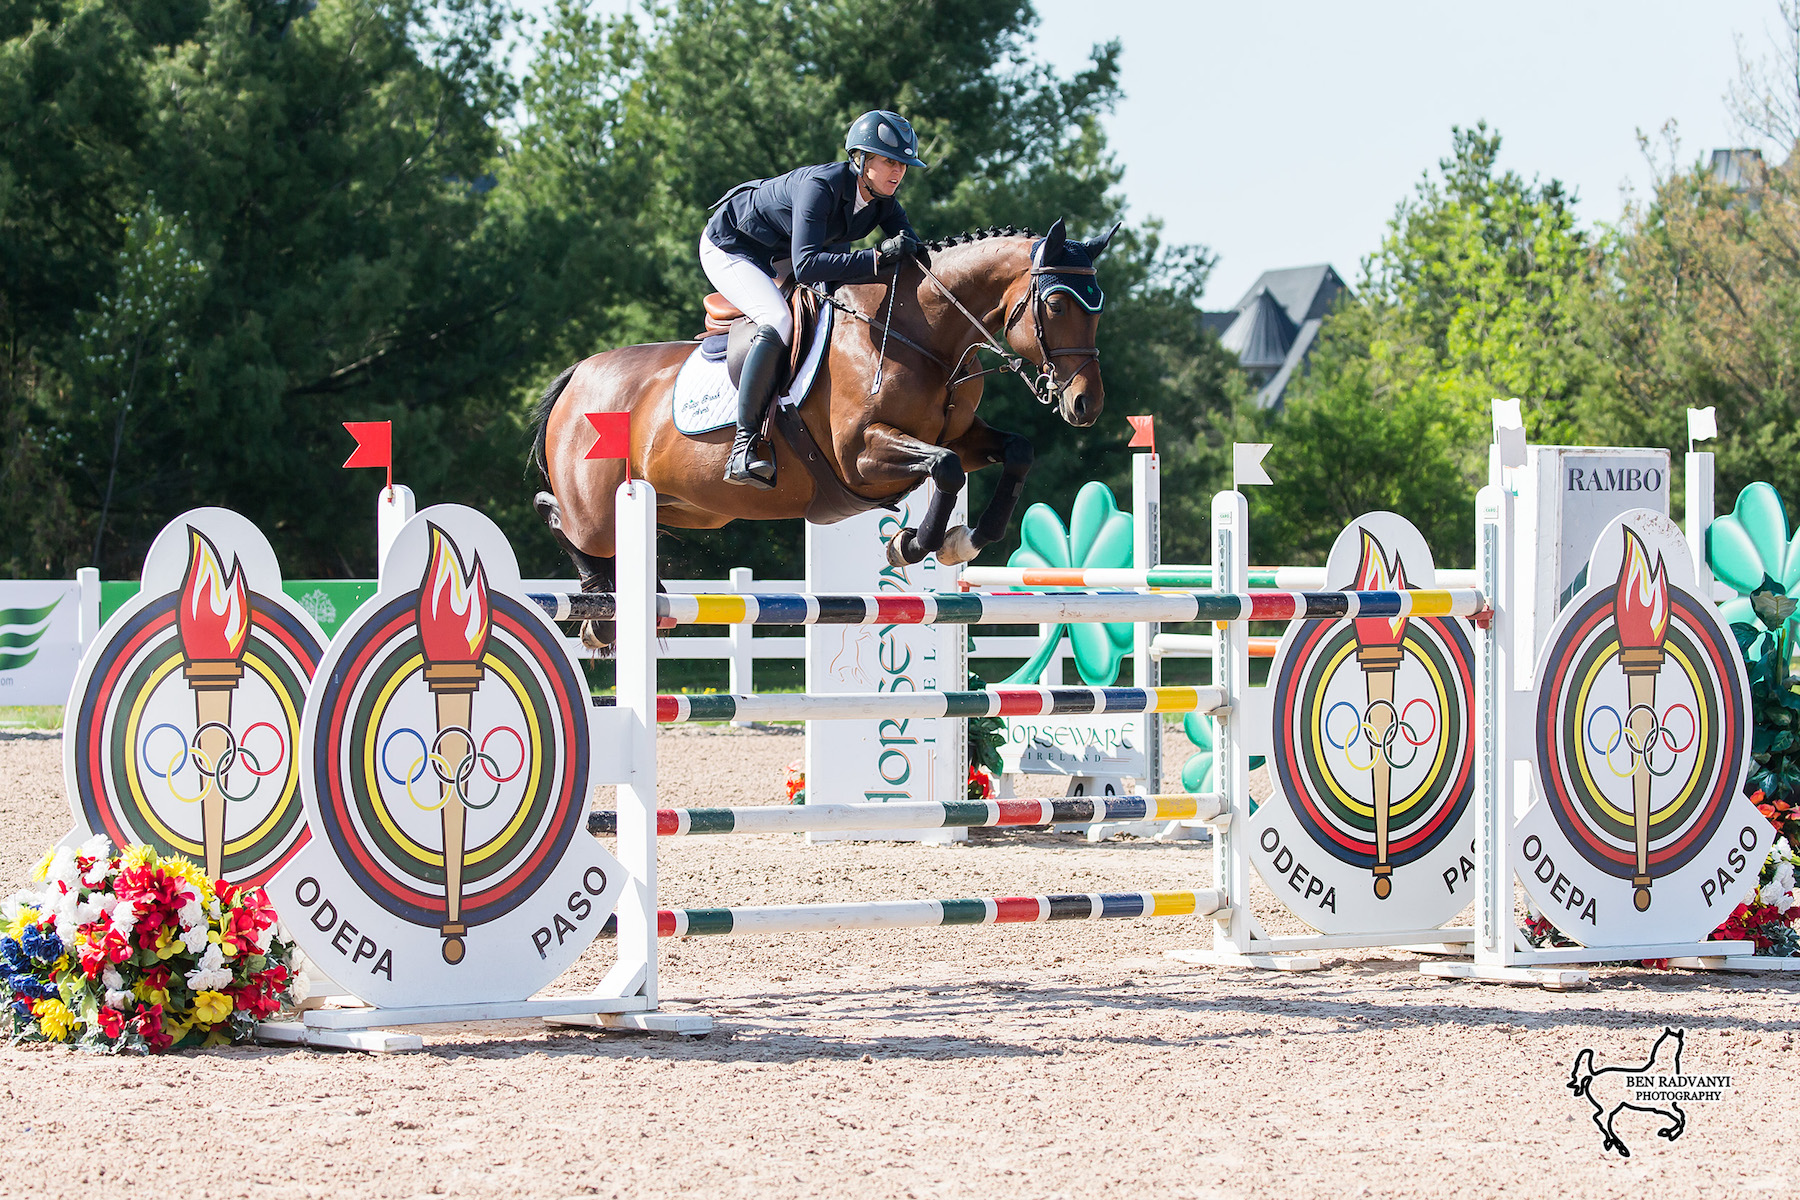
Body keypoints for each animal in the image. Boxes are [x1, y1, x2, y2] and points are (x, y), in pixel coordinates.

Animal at [525, 215, 1108, 647]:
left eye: (1098, 308)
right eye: (1057, 303)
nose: (1086, 404)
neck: (917, 333)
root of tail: (578, 375)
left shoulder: (961, 437)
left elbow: (1016, 451)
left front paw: (964, 539)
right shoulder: (861, 456)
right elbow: (943, 469)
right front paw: (910, 544)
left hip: (696, 507)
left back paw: (632, 604)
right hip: (597, 512)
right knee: (558, 515)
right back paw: (601, 611)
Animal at [1569, 1029, 1692, 1158]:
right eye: (1679, 1042)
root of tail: (1593, 1074)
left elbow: (1679, 1116)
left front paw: (1667, 1132)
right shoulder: (1663, 1104)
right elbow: (1678, 1118)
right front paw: (1667, 1132)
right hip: (1610, 1105)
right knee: (1601, 1118)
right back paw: (1618, 1145)